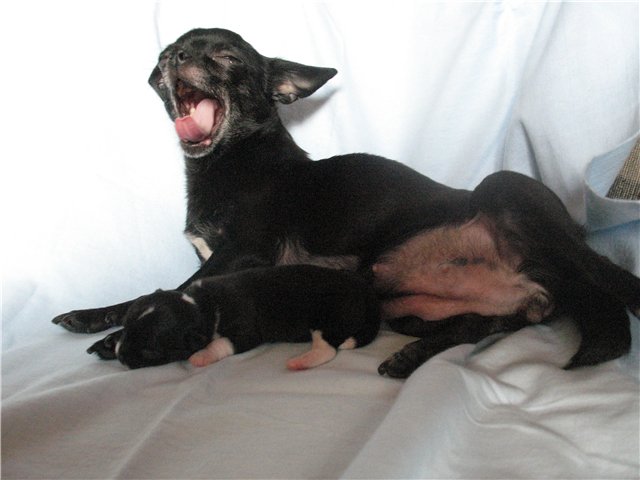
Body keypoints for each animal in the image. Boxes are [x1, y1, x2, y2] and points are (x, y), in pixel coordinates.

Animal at [86, 265, 380, 370]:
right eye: (126, 329)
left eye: (150, 352)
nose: (122, 357)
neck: (201, 306)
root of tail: (367, 294)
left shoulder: (245, 331)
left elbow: (221, 343)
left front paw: (201, 356)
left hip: (327, 317)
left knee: (327, 348)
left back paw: (300, 361)